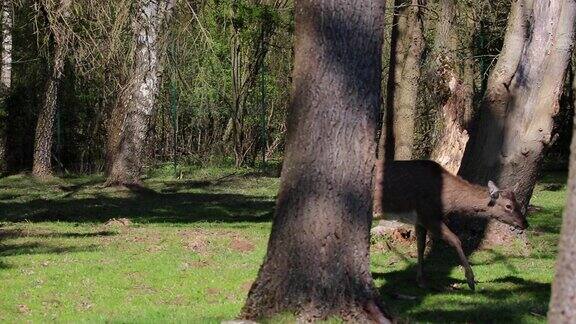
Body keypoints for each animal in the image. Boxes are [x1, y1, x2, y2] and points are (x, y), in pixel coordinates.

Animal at [374, 159, 528, 288]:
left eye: (517, 203)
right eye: (508, 206)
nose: (525, 223)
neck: (447, 202)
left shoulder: (420, 220)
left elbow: (420, 246)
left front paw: (421, 280)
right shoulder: (428, 215)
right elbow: (455, 239)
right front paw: (471, 280)